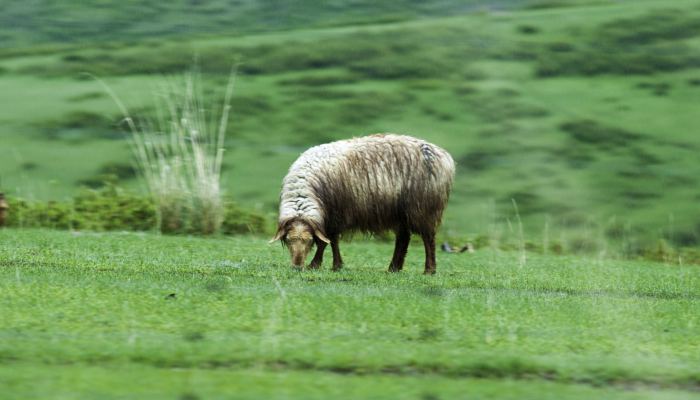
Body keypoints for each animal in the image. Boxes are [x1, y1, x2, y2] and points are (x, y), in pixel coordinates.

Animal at [268, 134, 454, 276]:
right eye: (289, 240)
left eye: (308, 241)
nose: (297, 266)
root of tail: (444, 156)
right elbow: (330, 241)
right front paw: (331, 265)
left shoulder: (335, 215)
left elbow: (328, 242)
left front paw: (320, 264)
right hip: (400, 212)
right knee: (403, 239)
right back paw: (394, 268)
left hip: (424, 208)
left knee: (428, 239)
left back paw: (429, 270)